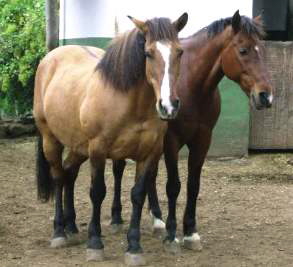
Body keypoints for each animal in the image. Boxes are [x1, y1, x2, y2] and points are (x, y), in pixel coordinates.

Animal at [33, 13, 187, 266]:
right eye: (148, 53)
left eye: (180, 52)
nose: (168, 105)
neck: (129, 102)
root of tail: (50, 58)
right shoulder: (98, 150)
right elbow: (98, 192)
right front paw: (95, 243)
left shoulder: (149, 153)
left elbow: (138, 195)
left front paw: (134, 247)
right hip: (51, 140)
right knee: (58, 176)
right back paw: (59, 232)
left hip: (78, 146)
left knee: (69, 172)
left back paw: (72, 226)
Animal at [109, 9, 272, 253]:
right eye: (243, 50)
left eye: (261, 49)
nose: (265, 96)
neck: (192, 85)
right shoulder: (172, 141)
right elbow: (173, 186)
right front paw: (172, 234)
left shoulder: (203, 139)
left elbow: (193, 185)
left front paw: (190, 232)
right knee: (119, 170)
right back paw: (117, 218)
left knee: (150, 175)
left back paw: (157, 219)